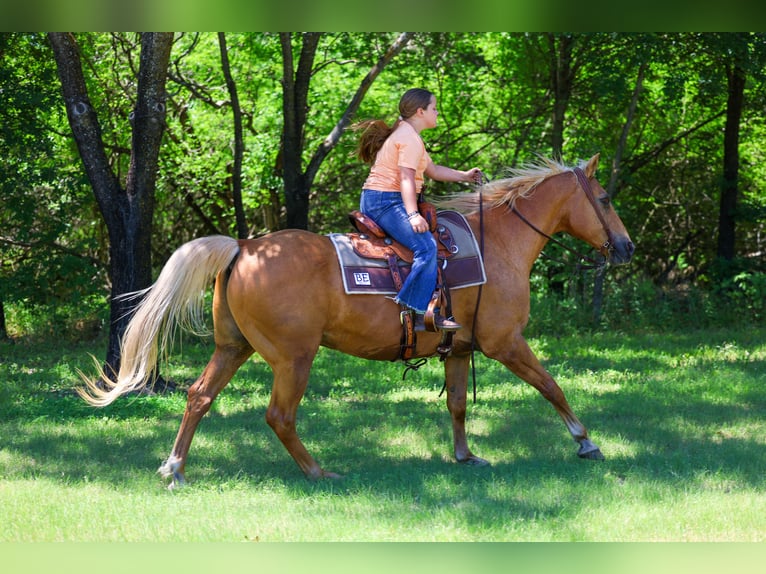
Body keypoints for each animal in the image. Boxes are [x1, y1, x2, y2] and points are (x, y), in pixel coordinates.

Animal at [79, 153, 634, 487]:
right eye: (605, 199)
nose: (627, 247)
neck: (496, 244)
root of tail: (243, 247)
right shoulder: (506, 343)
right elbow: (552, 385)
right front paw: (586, 442)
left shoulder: (459, 349)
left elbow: (457, 405)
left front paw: (464, 456)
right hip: (293, 358)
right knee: (279, 415)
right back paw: (317, 472)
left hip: (232, 348)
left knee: (199, 397)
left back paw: (174, 468)